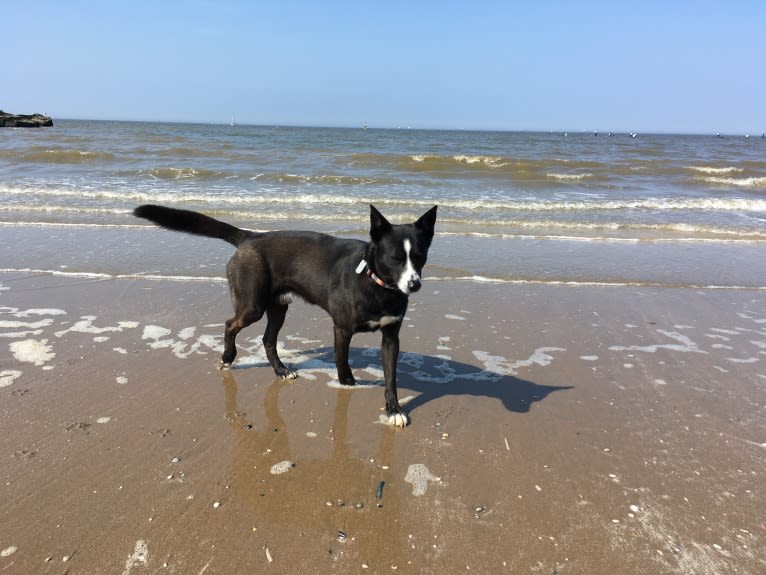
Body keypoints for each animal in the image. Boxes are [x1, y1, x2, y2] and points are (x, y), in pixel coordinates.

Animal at [134, 204, 438, 428]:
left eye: (420, 256)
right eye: (395, 258)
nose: (414, 285)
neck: (376, 283)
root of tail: (250, 236)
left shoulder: (391, 338)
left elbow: (391, 378)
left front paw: (393, 410)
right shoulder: (342, 329)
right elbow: (342, 361)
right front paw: (348, 384)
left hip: (278, 309)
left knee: (268, 340)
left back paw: (281, 370)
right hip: (252, 306)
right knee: (230, 325)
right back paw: (228, 357)